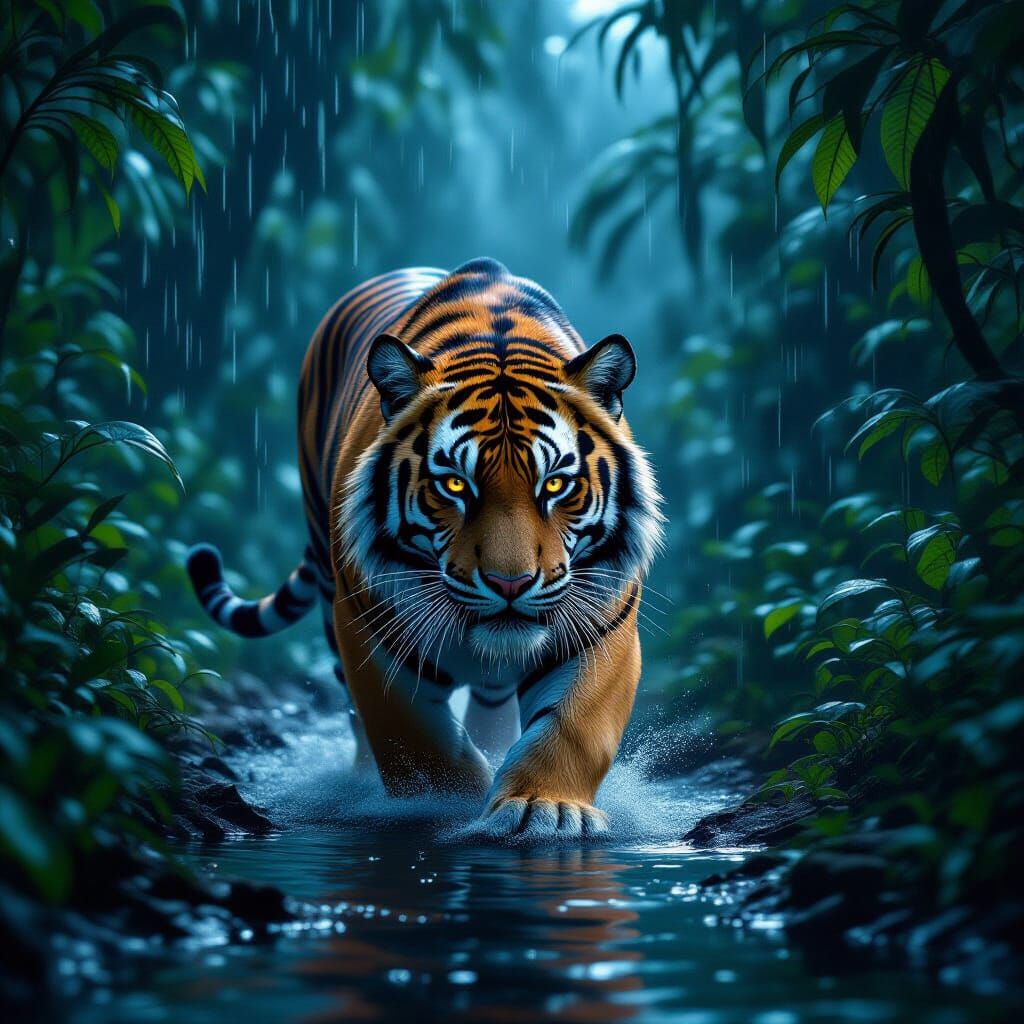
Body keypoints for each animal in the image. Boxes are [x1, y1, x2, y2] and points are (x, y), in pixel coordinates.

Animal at [187, 258, 663, 839]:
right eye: (455, 484)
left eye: (554, 484)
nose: (509, 583)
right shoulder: (370, 628)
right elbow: (415, 737)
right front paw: (444, 805)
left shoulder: (601, 624)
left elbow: (573, 726)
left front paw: (545, 809)